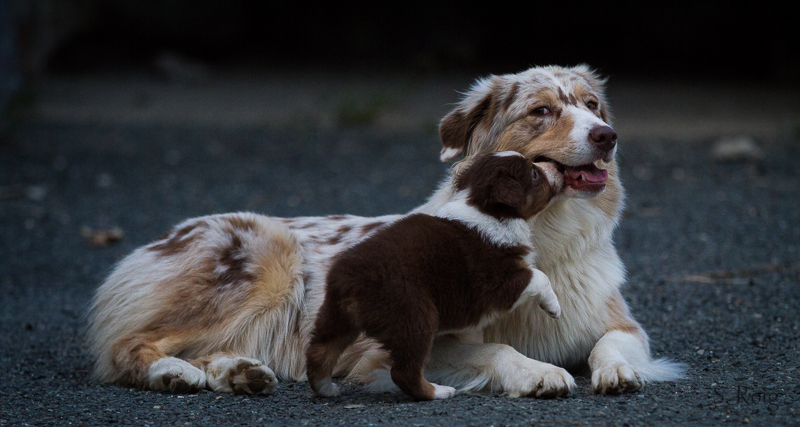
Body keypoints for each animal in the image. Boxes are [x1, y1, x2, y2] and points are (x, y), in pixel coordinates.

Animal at [306, 152, 563, 400]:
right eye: (533, 174)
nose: (558, 168)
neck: (483, 208)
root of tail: (348, 278)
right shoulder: (499, 282)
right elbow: (539, 276)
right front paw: (554, 308)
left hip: (336, 316)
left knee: (320, 350)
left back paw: (326, 388)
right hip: (415, 315)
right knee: (403, 371)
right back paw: (438, 392)